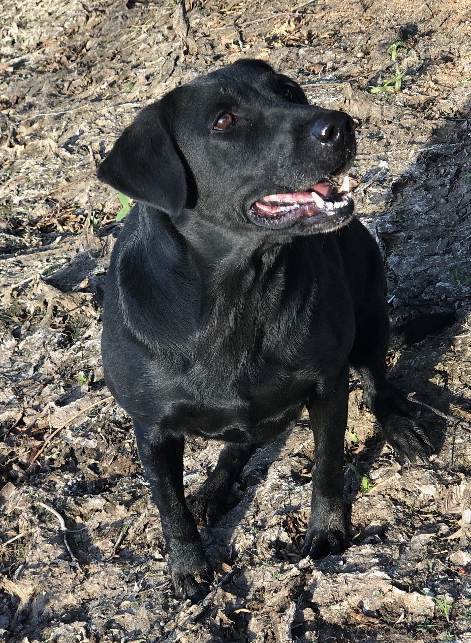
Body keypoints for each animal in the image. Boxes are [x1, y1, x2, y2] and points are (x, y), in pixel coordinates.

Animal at [97, 57, 436, 600]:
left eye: (289, 91)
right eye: (223, 121)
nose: (340, 124)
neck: (235, 292)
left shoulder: (327, 386)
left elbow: (327, 466)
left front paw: (327, 532)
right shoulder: (150, 428)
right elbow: (169, 505)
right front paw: (188, 567)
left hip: (369, 312)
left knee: (377, 381)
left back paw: (401, 426)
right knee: (238, 445)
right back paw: (213, 489)